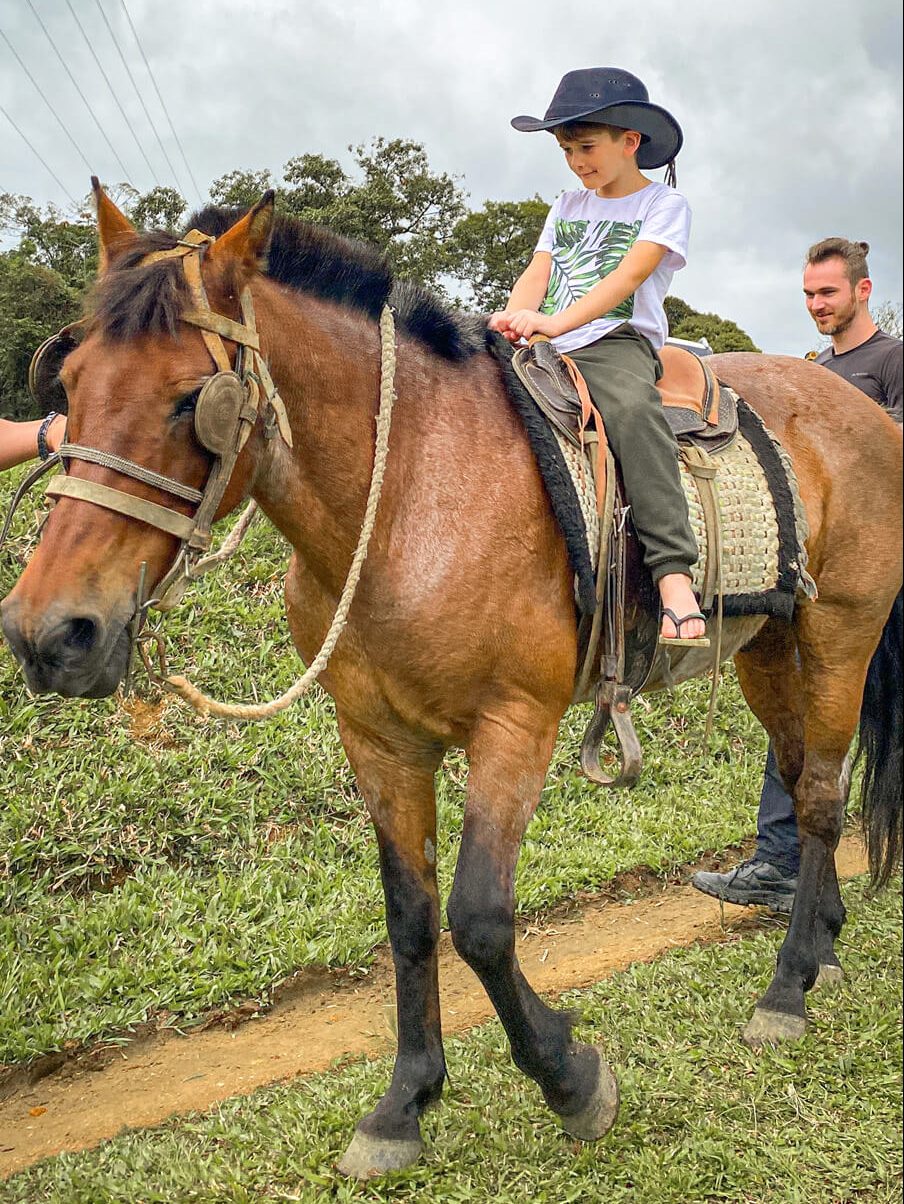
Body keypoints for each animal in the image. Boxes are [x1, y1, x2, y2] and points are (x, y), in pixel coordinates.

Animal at [3, 187, 900, 1175]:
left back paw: (787, 987)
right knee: (804, 776)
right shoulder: (378, 738)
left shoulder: (517, 725)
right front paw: (405, 1101)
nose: (49, 633)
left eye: (189, 401)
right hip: (768, 649)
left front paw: (569, 1078)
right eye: (67, 386)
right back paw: (820, 944)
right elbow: (409, 913)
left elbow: (478, 918)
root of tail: (856, 404)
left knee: (821, 795)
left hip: (842, 632)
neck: (409, 492)